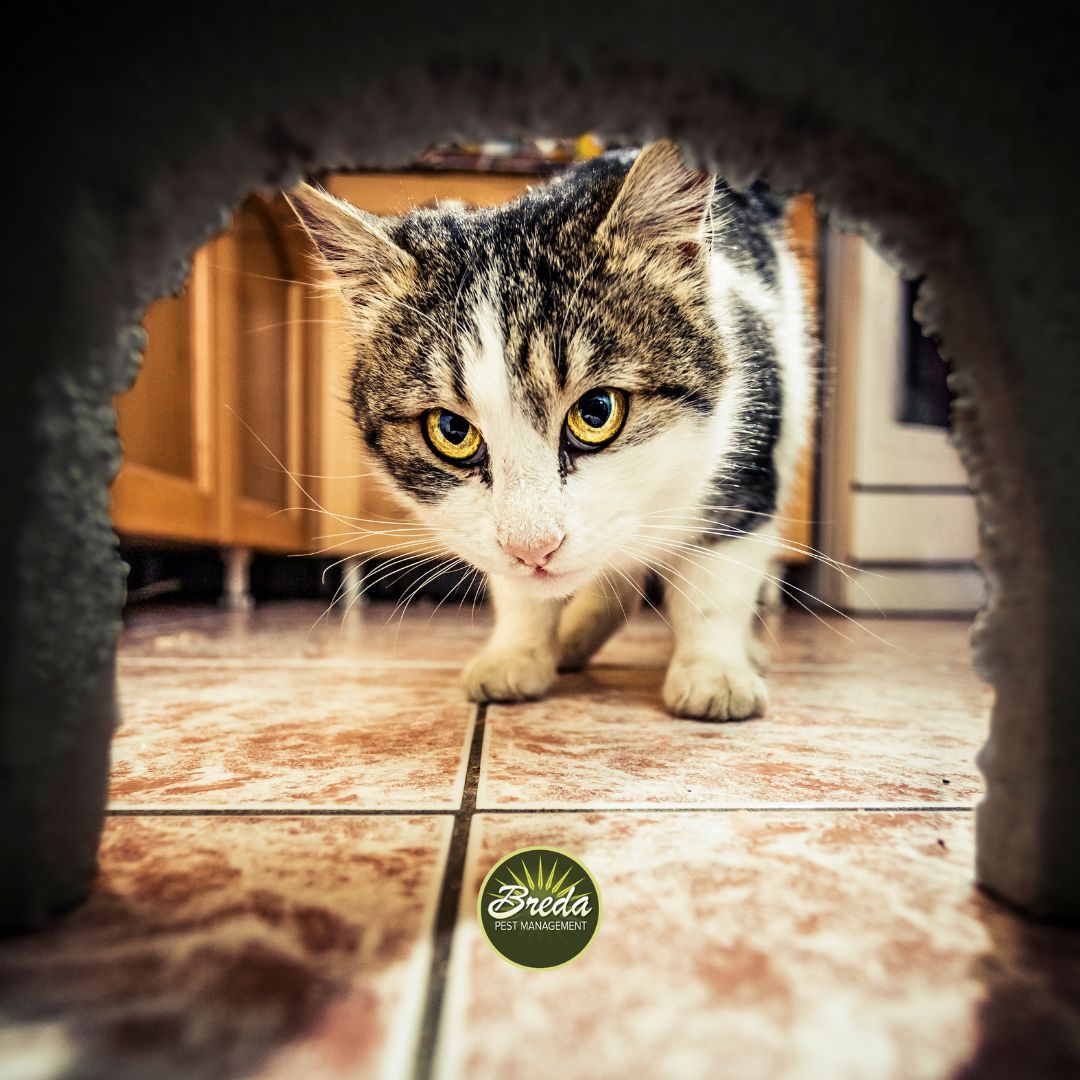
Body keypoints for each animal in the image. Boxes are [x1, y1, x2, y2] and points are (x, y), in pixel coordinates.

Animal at [289, 141, 812, 717]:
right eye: (451, 430)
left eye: (597, 412)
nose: (533, 547)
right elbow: (518, 588)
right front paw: (518, 651)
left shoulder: (745, 454)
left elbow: (717, 581)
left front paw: (713, 670)